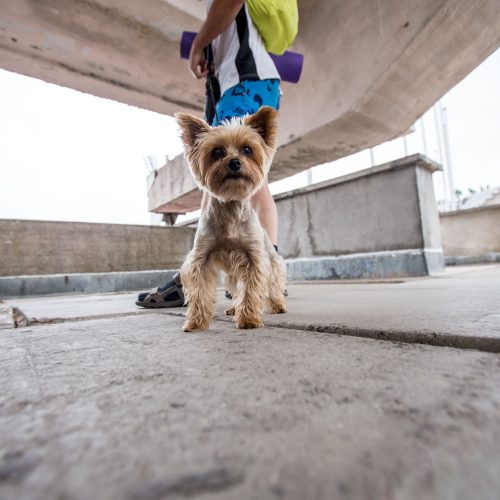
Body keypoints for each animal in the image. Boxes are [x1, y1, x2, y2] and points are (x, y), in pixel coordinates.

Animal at [176, 106, 288, 332]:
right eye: (217, 152)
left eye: (247, 150)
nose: (234, 162)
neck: (230, 205)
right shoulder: (202, 258)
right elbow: (199, 291)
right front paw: (195, 322)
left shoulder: (253, 258)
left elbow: (252, 289)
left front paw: (249, 319)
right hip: (232, 272)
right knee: (236, 288)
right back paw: (234, 308)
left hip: (271, 259)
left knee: (272, 283)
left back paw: (276, 304)